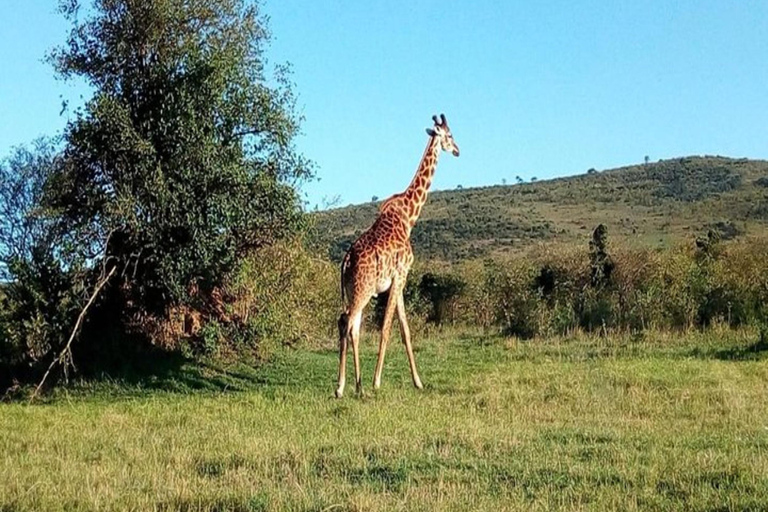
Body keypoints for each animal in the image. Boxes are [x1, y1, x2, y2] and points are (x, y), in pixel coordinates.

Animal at [332, 114, 460, 398]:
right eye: (449, 135)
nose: (458, 150)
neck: (409, 216)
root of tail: (346, 261)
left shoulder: (398, 281)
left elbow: (405, 329)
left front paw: (418, 381)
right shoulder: (400, 276)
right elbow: (387, 328)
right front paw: (377, 381)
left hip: (356, 290)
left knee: (352, 326)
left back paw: (357, 386)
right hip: (364, 290)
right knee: (346, 322)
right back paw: (342, 387)